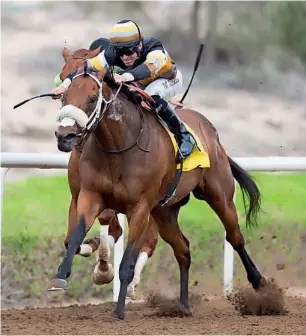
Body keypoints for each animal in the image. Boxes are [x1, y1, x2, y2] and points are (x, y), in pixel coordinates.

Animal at [56, 46, 159, 298]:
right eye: (63, 78)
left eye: (94, 96)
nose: (66, 136)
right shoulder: (79, 194)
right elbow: (71, 239)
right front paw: (88, 247)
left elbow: (110, 226)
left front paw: (103, 270)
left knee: (150, 238)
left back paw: (130, 283)